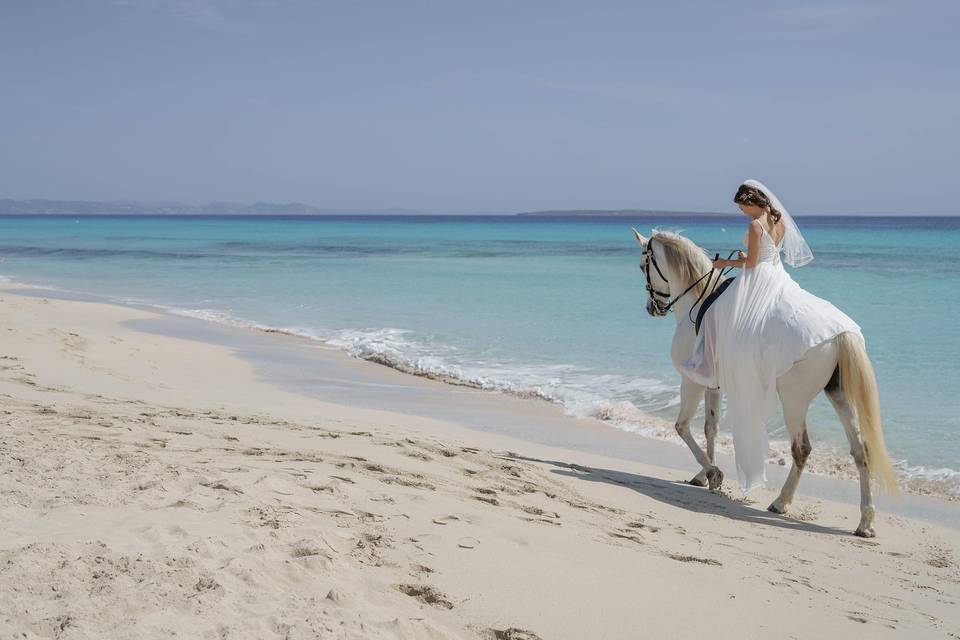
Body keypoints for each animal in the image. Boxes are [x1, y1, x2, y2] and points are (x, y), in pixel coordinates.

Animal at [632, 228, 896, 536]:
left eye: (643, 266)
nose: (652, 308)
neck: (698, 300)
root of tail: (841, 333)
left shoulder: (692, 380)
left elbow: (682, 426)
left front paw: (713, 473)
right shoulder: (713, 384)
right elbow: (711, 428)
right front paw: (704, 476)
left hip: (794, 400)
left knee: (802, 449)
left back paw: (781, 502)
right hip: (838, 394)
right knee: (861, 451)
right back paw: (865, 521)